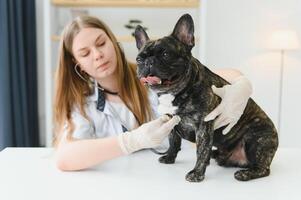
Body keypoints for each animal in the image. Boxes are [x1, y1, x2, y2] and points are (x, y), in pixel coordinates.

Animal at [134, 13, 278, 182]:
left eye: (165, 54)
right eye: (138, 59)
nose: (148, 62)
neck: (177, 91)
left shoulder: (203, 126)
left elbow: (201, 151)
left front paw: (197, 173)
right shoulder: (170, 122)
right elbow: (173, 142)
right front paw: (169, 157)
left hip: (255, 139)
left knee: (263, 168)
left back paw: (245, 173)